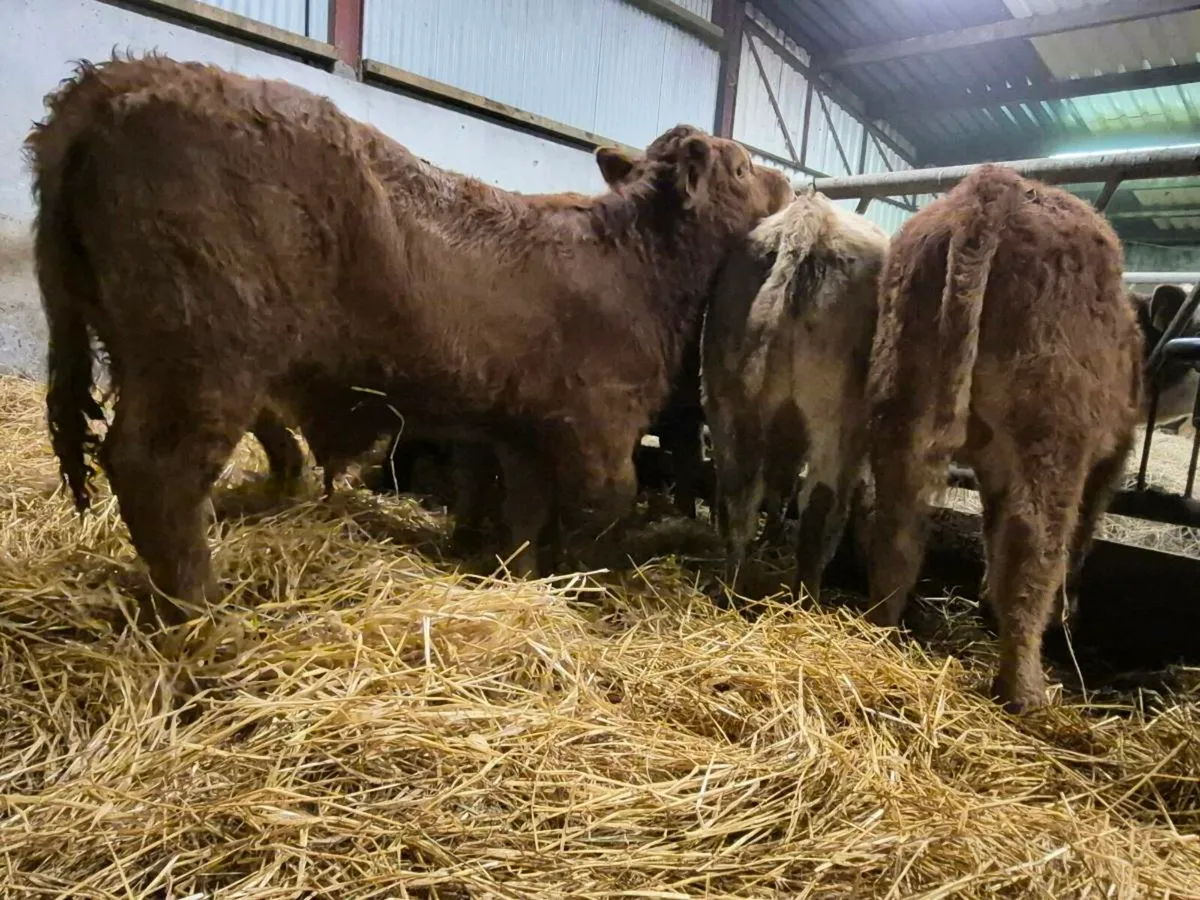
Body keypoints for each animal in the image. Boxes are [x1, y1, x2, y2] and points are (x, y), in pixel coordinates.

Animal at [27, 54, 792, 628]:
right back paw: (204, 618)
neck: (638, 260)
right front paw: (588, 594)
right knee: (159, 473)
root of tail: (126, 75)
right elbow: (600, 514)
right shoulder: (600, 428)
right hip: (205, 355)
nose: (787, 181)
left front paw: (515, 579)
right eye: (742, 166)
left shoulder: (522, 430)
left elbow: (523, 515)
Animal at [701, 188, 889, 601]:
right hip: (835, 417)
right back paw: (807, 597)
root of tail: (809, 219)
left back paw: (733, 586)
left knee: (739, 490)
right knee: (820, 503)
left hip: (726, 400)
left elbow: (778, 480)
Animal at [863, 164, 1144, 713]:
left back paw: (879, 633)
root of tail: (991, 186)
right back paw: (1025, 691)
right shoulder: (1107, 463)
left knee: (898, 519)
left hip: (900, 403)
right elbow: (1076, 540)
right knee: (1033, 541)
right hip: (1054, 433)